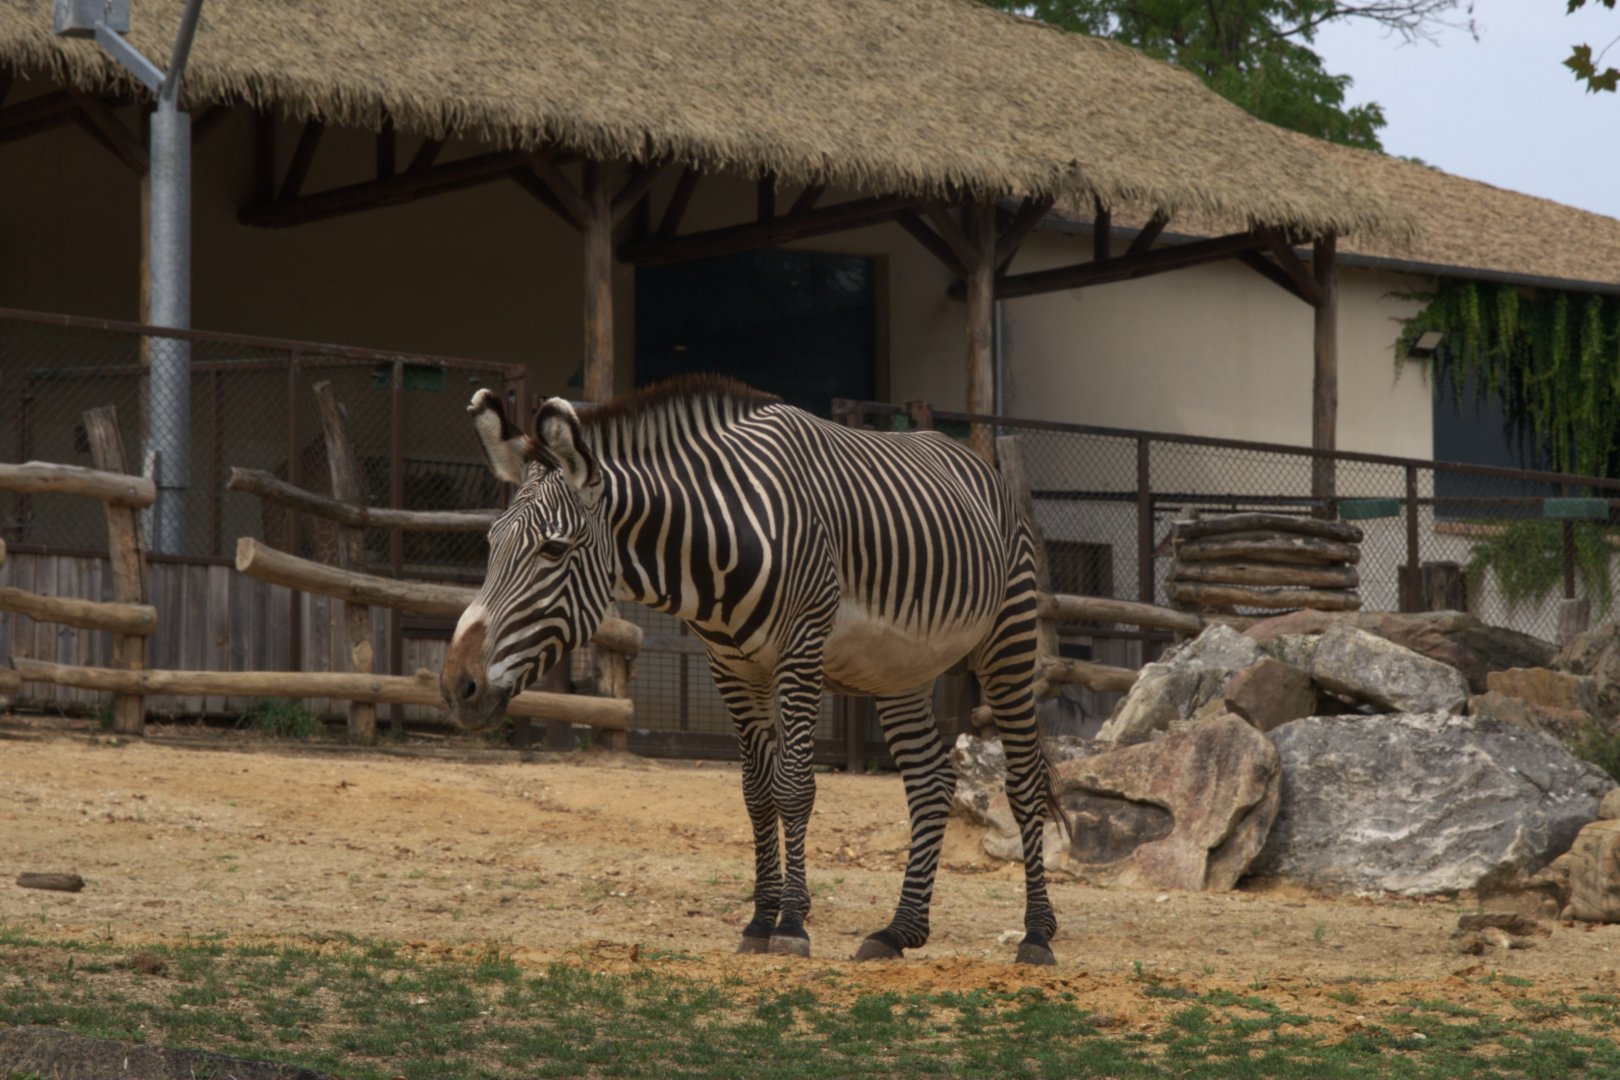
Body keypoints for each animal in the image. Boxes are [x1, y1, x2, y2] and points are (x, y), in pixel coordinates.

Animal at [441, 376, 1062, 965]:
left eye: (552, 549)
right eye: (491, 543)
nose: (456, 686)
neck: (717, 541)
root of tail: (974, 458)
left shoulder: (800, 652)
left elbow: (794, 788)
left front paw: (790, 926)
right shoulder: (732, 668)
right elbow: (756, 793)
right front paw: (760, 923)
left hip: (1009, 637)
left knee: (1025, 782)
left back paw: (1036, 935)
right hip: (900, 670)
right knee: (930, 781)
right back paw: (898, 931)